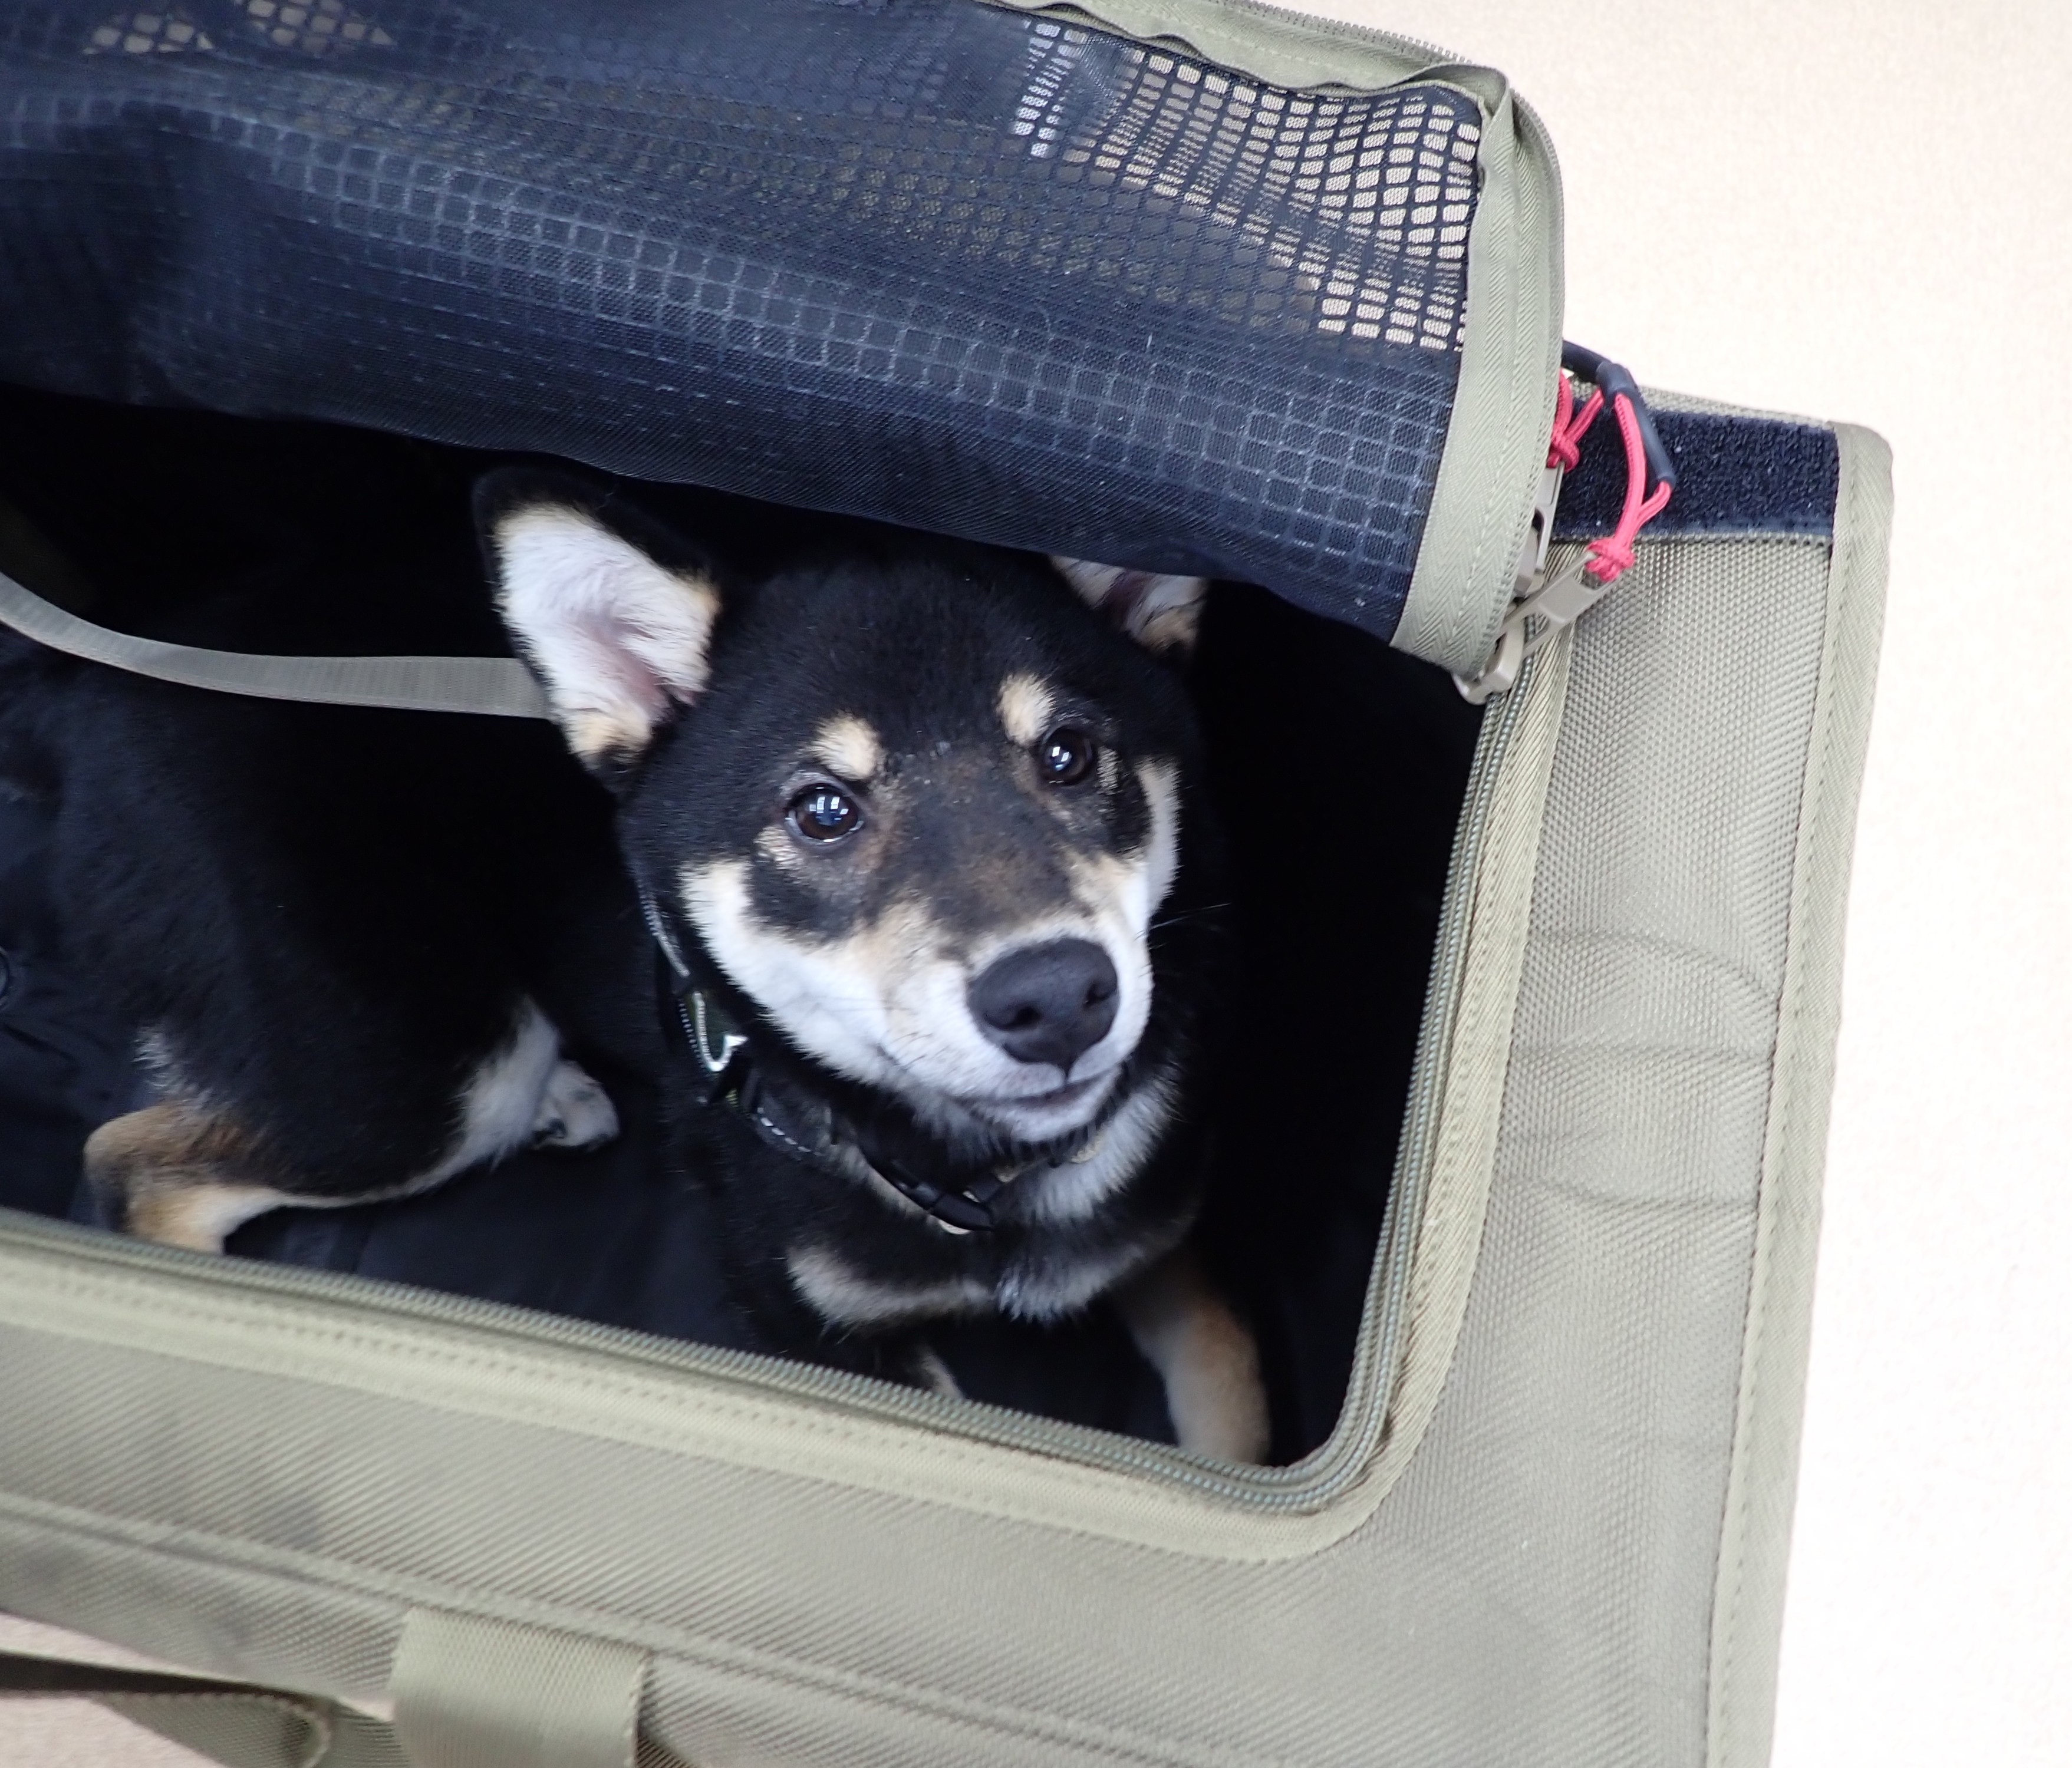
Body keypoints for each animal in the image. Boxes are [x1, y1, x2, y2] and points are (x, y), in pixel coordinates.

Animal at [0, 473, 1267, 1461]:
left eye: (1070, 754)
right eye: (822, 811)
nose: (1055, 998)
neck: (983, 1180)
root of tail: (77, 691)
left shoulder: (1155, 1228)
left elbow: (1232, 1373)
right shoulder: (817, 1328)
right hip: (418, 1071)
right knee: (137, 1168)